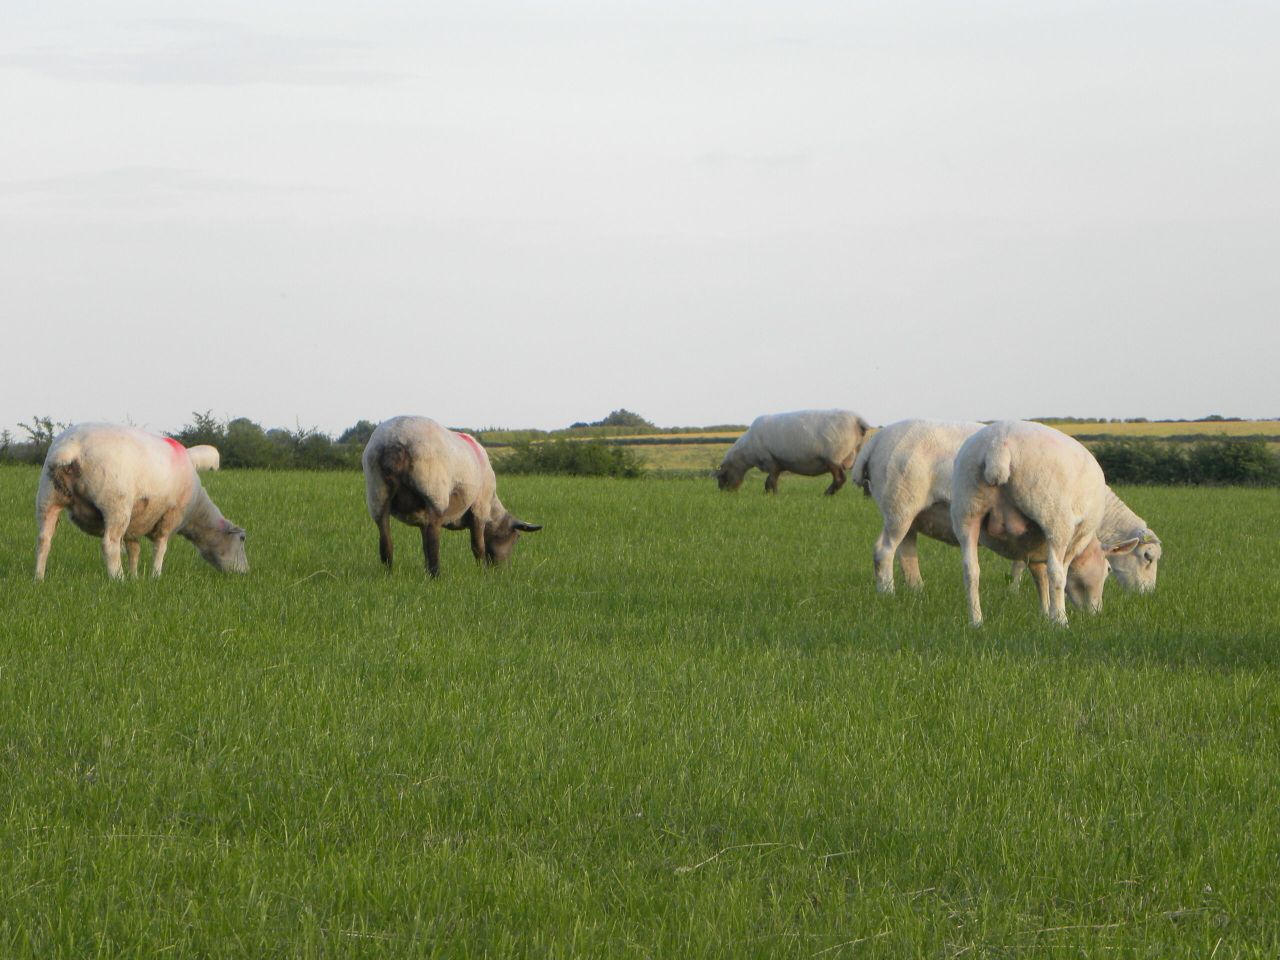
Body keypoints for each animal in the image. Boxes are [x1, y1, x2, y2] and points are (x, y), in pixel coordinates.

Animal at [34, 423, 248, 580]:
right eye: (242, 539)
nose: (245, 573)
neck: (196, 510)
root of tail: (71, 448)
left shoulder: (135, 523)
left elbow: (134, 550)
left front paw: (135, 577)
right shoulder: (169, 517)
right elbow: (160, 548)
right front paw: (155, 576)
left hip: (47, 496)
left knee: (44, 539)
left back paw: (39, 578)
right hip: (115, 503)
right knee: (110, 544)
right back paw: (117, 579)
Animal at [362, 416, 542, 577]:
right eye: (516, 537)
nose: (503, 570)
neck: (493, 510)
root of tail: (394, 440)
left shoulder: (422, 519)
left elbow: (424, 546)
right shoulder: (479, 508)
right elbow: (478, 546)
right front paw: (482, 574)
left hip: (377, 492)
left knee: (386, 542)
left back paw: (389, 574)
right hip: (434, 492)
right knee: (434, 541)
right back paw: (436, 576)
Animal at [715, 409, 871, 495]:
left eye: (722, 477)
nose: (725, 494)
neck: (746, 453)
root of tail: (858, 421)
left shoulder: (770, 460)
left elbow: (770, 481)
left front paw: (771, 495)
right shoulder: (777, 463)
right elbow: (771, 481)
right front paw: (769, 495)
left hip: (834, 456)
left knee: (840, 479)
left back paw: (826, 494)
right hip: (858, 453)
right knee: (867, 477)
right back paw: (867, 496)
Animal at [949, 420, 1140, 626]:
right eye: (1108, 569)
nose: (1096, 612)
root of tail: (999, 444)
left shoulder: (1032, 547)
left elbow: (1040, 578)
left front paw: (1045, 613)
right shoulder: (1073, 542)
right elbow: (1058, 575)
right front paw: (1055, 615)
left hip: (966, 510)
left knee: (970, 570)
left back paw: (976, 621)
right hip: (1053, 515)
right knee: (1055, 573)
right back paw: (1062, 623)